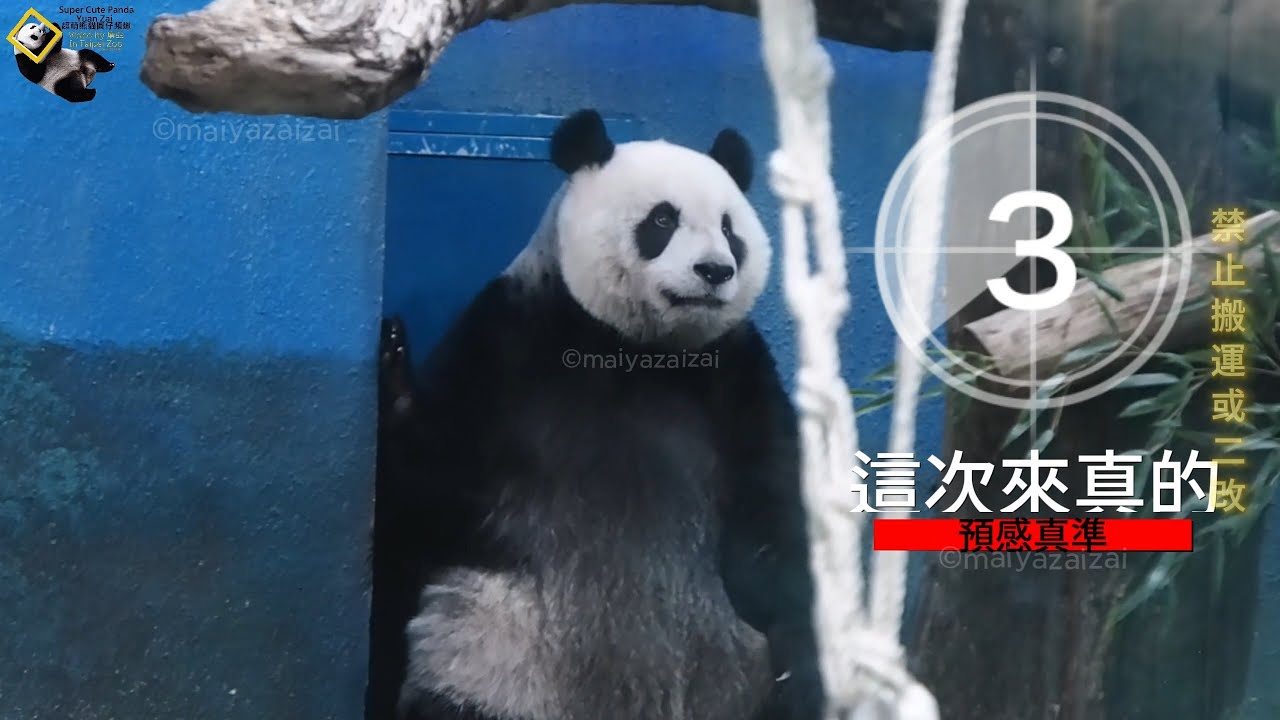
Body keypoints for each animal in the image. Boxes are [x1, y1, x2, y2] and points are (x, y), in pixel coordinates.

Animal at [369, 109, 823, 720]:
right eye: (663, 220)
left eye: (731, 230)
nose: (714, 271)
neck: (639, 350)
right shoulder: (511, 340)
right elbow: (436, 480)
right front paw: (394, 364)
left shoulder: (735, 372)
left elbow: (777, 504)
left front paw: (805, 666)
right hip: (492, 655)